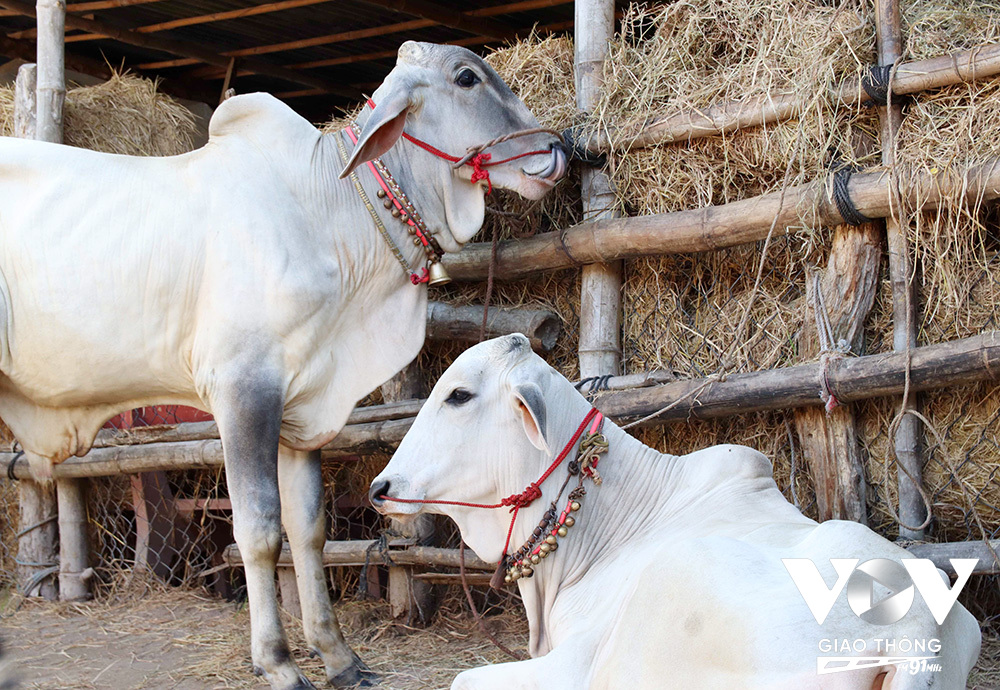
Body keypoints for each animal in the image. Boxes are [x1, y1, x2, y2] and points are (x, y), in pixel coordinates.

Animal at [0, 44, 564, 688]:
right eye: (467, 77)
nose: (559, 148)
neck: (328, 215)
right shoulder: (244, 391)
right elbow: (261, 530)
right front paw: (278, 663)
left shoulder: (304, 409)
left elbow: (309, 529)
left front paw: (339, 657)